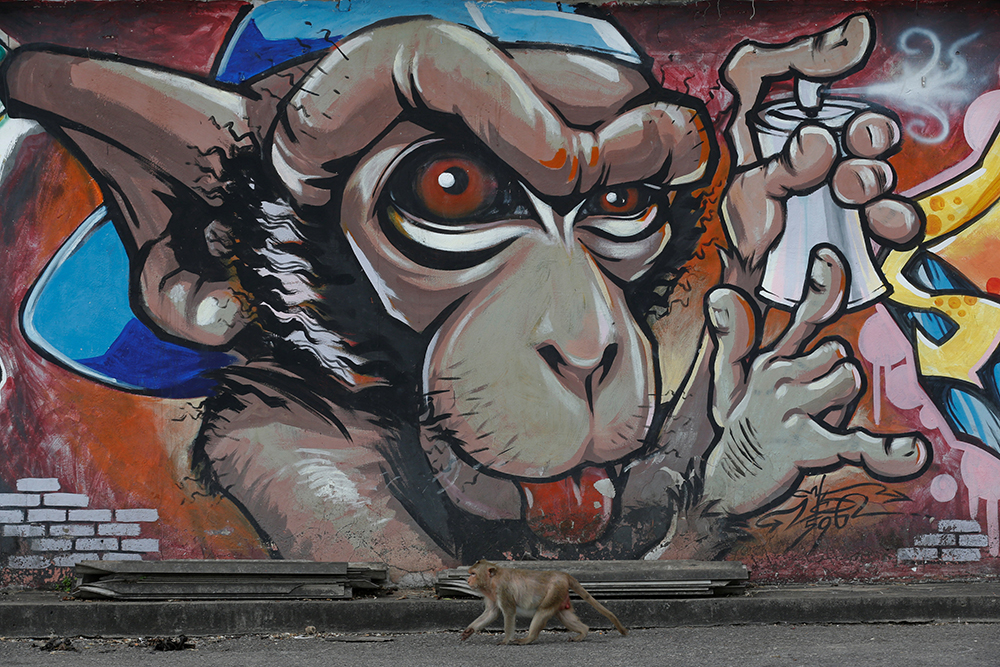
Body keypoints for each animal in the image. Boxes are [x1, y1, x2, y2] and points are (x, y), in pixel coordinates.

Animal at [460, 559, 628, 645]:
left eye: (473, 574)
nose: (467, 580)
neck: (493, 581)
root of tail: (563, 574)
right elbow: (491, 613)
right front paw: (470, 630)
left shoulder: (503, 590)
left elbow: (508, 613)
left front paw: (506, 640)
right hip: (560, 595)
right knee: (563, 615)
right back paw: (583, 632)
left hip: (555, 590)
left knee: (542, 611)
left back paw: (528, 639)